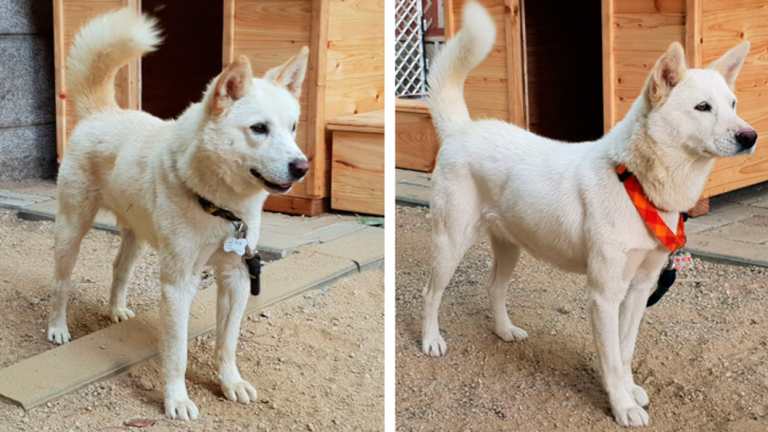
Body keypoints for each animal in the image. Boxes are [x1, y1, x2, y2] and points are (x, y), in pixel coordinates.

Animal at [45, 8, 306, 420]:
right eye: (259, 129)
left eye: (293, 126)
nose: (303, 167)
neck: (221, 207)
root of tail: (102, 113)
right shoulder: (178, 284)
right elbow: (177, 352)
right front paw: (177, 400)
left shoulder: (235, 277)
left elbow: (227, 342)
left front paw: (230, 383)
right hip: (71, 230)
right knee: (61, 283)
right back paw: (57, 329)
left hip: (135, 235)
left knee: (118, 269)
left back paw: (116, 309)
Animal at [424, 0, 752, 428]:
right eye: (702, 107)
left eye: (732, 104)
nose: (751, 137)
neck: (634, 179)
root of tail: (462, 130)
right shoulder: (604, 295)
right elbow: (611, 359)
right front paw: (622, 406)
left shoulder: (640, 289)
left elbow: (625, 351)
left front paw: (629, 391)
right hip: (450, 242)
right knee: (431, 293)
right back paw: (430, 340)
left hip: (510, 246)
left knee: (494, 288)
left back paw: (504, 331)